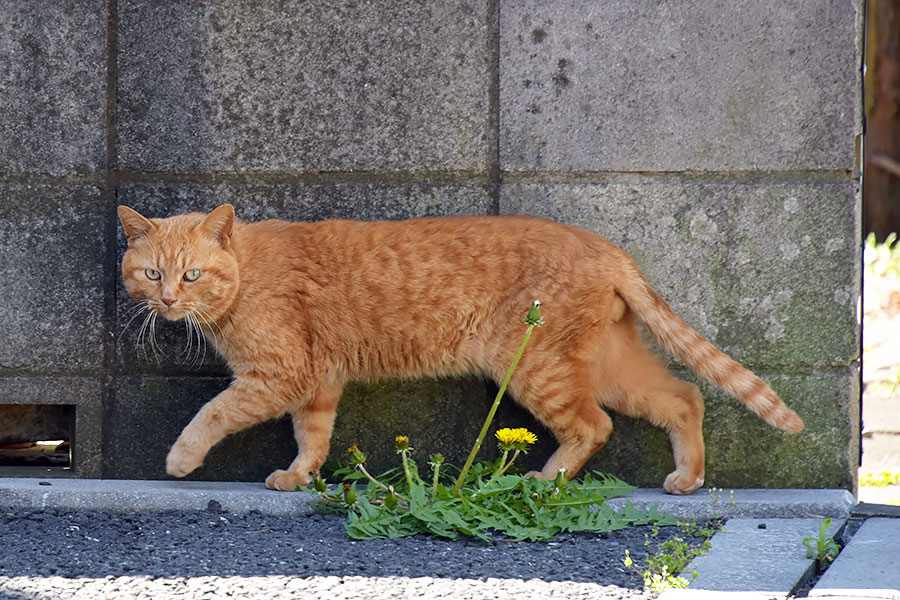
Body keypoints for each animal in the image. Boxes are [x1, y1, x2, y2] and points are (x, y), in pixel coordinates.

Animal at [118, 204, 800, 494]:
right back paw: (688, 478)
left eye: (191, 275)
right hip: (606, 363)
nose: (169, 301)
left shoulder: (279, 375)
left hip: (536, 368)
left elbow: (212, 413)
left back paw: (545, 480)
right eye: (152, 274)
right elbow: (313, 436)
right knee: (682, 397)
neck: (243, 278)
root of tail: (605, 247)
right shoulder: (316, 383)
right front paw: (299, 475)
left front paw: (181, 460)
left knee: (593, 425)